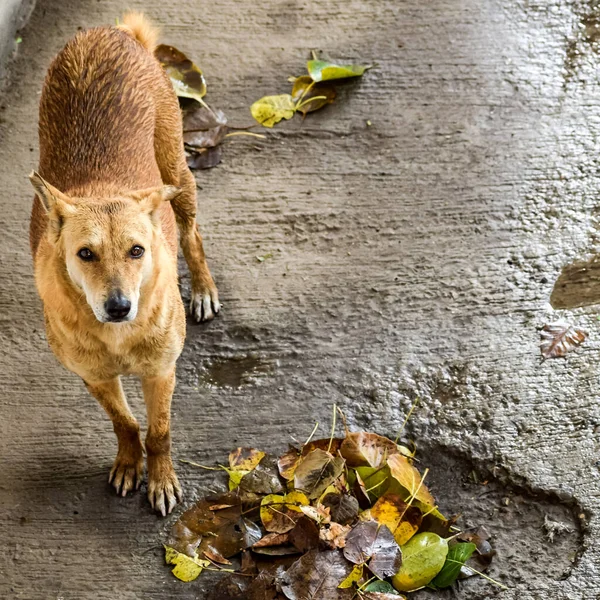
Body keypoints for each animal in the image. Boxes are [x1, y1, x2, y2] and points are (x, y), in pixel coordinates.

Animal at [28, 12, 220, 516]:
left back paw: (204, 290)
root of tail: (108, 32)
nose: (118, 307)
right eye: (85, 254)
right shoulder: (94, 377)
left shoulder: (161, 373)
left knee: (191, 234)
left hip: (178, 173)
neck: (117, 336)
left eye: (137, 251)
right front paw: (129, 465)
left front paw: (162, 480)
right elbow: (125, 423)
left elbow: (160, 431)